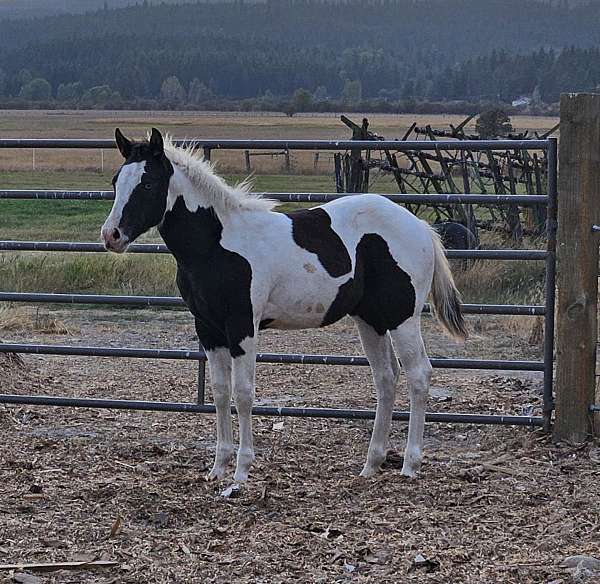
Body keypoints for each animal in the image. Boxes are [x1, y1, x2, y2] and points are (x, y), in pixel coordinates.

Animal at [102, 128, 468, 484]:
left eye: (148, 183)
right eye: (116, 181)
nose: (111, 235)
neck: (216, 245)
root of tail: (419, 226)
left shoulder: (242, 326)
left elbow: (244, 393)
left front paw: (240, 474)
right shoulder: (208, 328)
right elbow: (220, 393)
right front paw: (218, 468)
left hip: (402, 317)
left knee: (418, 375)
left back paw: (410, 465)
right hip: (370, 319)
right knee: (386, 378)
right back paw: (371, 465)